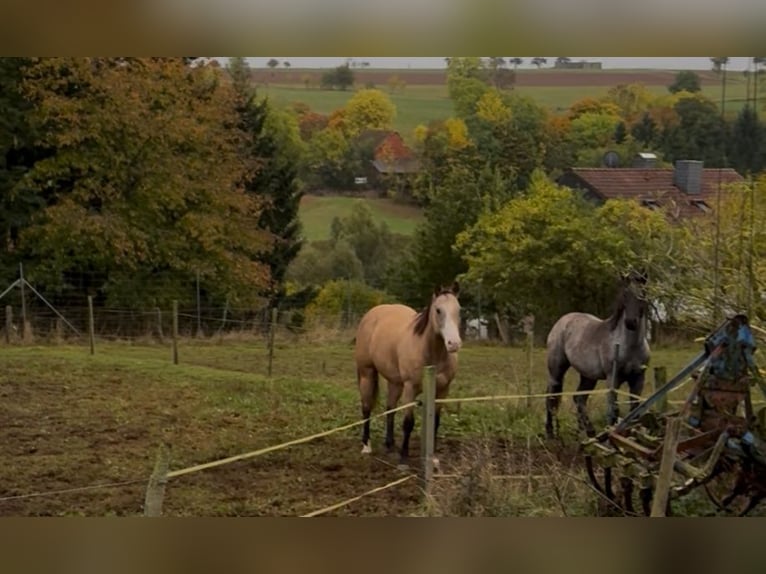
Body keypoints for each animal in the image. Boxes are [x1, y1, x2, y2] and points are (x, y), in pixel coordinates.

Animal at [354, 282, 462, 467]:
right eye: (438, 310)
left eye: (458, 309)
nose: (453, 344)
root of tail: (371, 314)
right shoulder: (410, 388)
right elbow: (408, 423)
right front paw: (403, 459)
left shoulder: (442, 391)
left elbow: (435, 422)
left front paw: (432, 458)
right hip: (367, 373)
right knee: (366, 408)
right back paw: (366, 446)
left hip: (395, 382)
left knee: (390, 408)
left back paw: (390, 445)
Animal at [544, 272, 651, 439]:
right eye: (625, 294)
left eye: (643, 293)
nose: (630, 322)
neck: (630, 346)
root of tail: (562, 321)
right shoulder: (613, 379)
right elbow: (613, 411)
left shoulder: (638, 379)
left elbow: (635, 410)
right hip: (557, 371)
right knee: (551, 398)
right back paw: (551, 434)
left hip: (588, 376)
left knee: (579, 398)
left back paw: (586, 432)